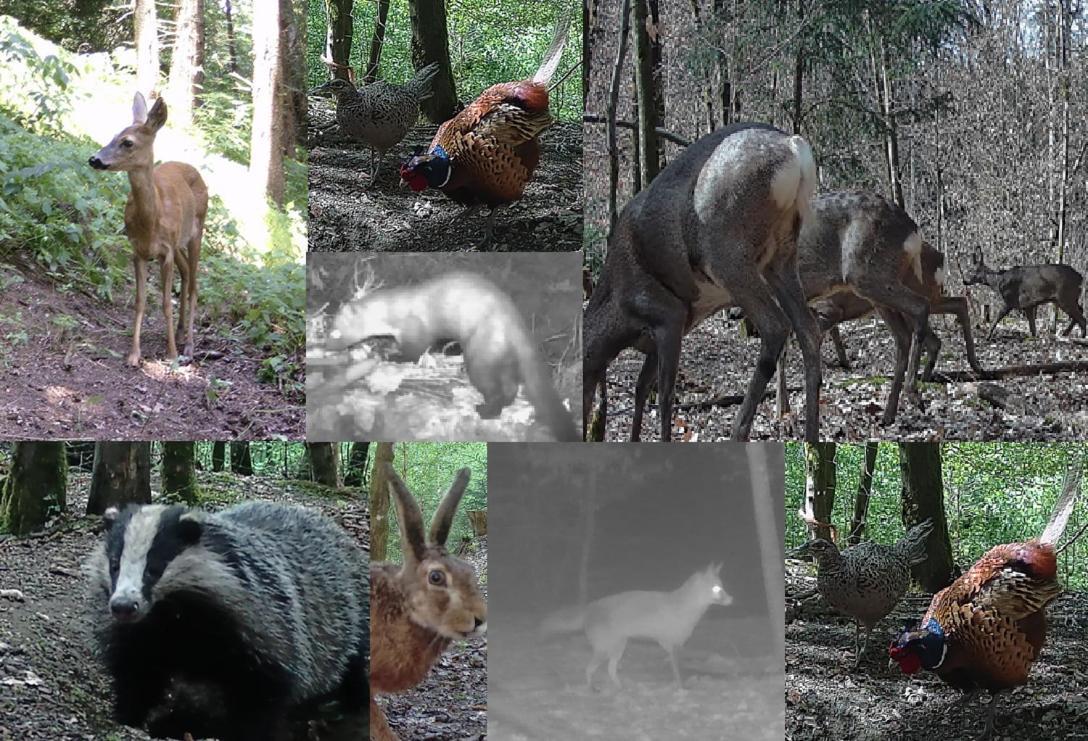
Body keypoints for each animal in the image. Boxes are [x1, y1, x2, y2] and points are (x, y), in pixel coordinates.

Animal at [89, 92, 207, 367]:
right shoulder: (139, 251)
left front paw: (172, 354)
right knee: (187, 274)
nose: (94, 159)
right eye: (113, 135)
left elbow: (164, 302)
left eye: (128, 142)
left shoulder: (166, 253)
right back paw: (180, 331)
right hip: (178, 243)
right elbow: (140, 301)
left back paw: (189, 345)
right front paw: (134, 354)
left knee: (194, 285)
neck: (151, 221)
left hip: (197, 231)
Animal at [541, 561, 735, 687]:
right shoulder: (671, 643)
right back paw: (593, 690)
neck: (684, 608)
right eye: (717, 589)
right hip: (606, 649)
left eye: (722, 587)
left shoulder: (673, 644)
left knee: (610, 670)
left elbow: (676, 669)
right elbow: (677, 671)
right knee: (589, 669)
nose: (732, 600)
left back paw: (620, 689)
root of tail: (589, 608)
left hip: (618, 648)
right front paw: (681, 688)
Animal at [583, 121, 818, 439]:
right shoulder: (670, 330)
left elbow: (664, 394)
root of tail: (793, 147)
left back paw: (738, 430)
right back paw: (811, 436)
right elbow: (641, 387)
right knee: (809, 330)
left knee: (776, 326)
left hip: (727, 254)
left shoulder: (667, 314)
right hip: (781, 254)